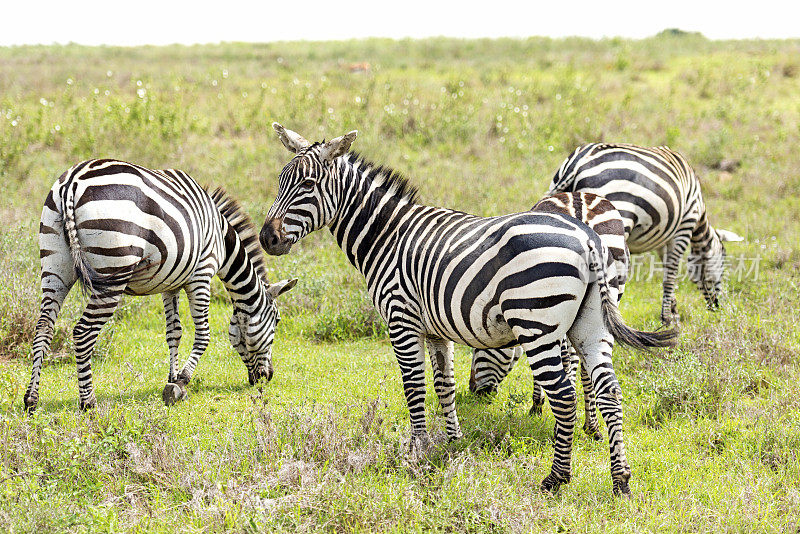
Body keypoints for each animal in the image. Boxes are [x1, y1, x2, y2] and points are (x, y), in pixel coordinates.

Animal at [27, 159, 300, 414]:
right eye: (277, 321)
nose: (266, 378)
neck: (223, 242)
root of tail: (73, 180)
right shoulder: (202, 274)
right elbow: (203, 334)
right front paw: (181, 381)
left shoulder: (170, 284)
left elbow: (174, 332)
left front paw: (171, 377)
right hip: (113, 271)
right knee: (83, 332)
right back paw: (88, 402)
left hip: (55, 266)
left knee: (43, 327)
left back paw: (31, 400)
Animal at [468, 191, 632, 442]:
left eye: (479, 349)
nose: (473, 391)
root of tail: (579, 206)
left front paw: (537, 406)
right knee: (585, 361)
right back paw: (592, 426)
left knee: (569, 359)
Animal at [552, 143, 744, 326]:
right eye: (723, 262)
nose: (718, 307)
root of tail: (577, 163)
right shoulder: (684, 227)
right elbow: (671, 274)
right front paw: (667, 318)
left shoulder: (663, 239)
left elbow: (666, 268)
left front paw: (673, 313)